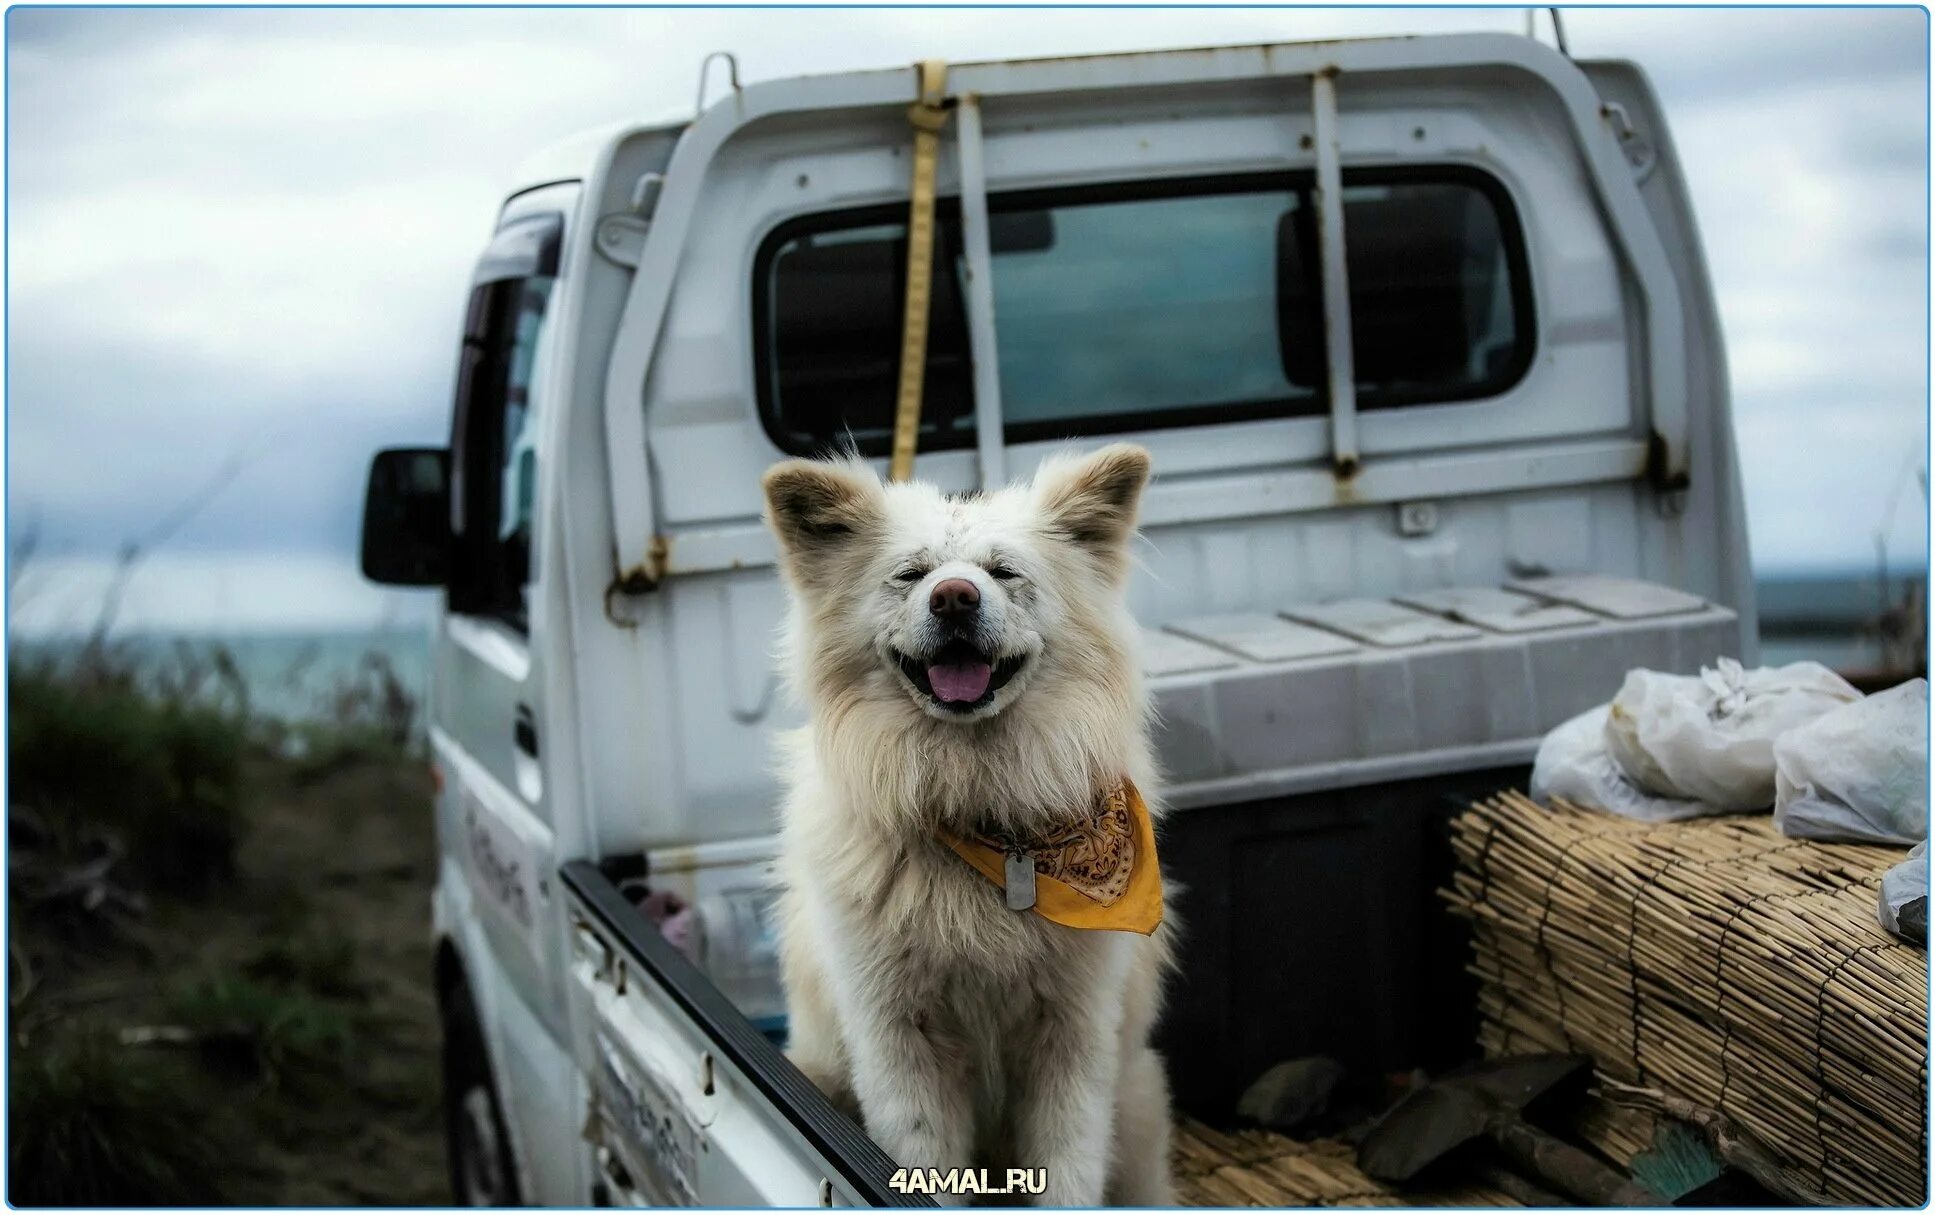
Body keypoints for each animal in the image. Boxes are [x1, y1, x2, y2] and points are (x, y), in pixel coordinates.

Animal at [762, 443, 1168, 1207]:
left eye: (1004, 573)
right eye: (910, 575)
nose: (954, 597)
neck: (982, 810)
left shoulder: (1073, 1034)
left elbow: (1068, 1168)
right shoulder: (899, 1040)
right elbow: (922, 1160)